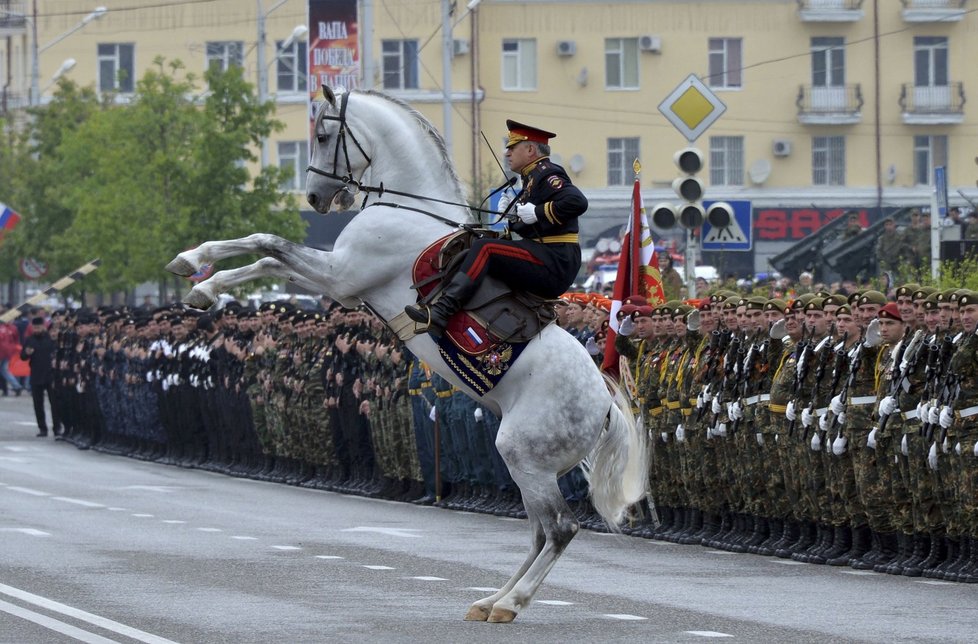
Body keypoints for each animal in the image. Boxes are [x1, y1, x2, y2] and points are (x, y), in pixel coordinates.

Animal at [168, 87, 648, 624]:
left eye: (323, 134)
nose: (315, 198)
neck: (409, 209)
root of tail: (604, 407)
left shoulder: (340, 276)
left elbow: (267, 244)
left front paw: (199, 276)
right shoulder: (341, 280)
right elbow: (267, 252)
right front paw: (197, 273)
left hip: (523, 456)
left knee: (561, 529)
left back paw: (512, 603)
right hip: (529, 468)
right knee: (540, 532)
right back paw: (491, 600)